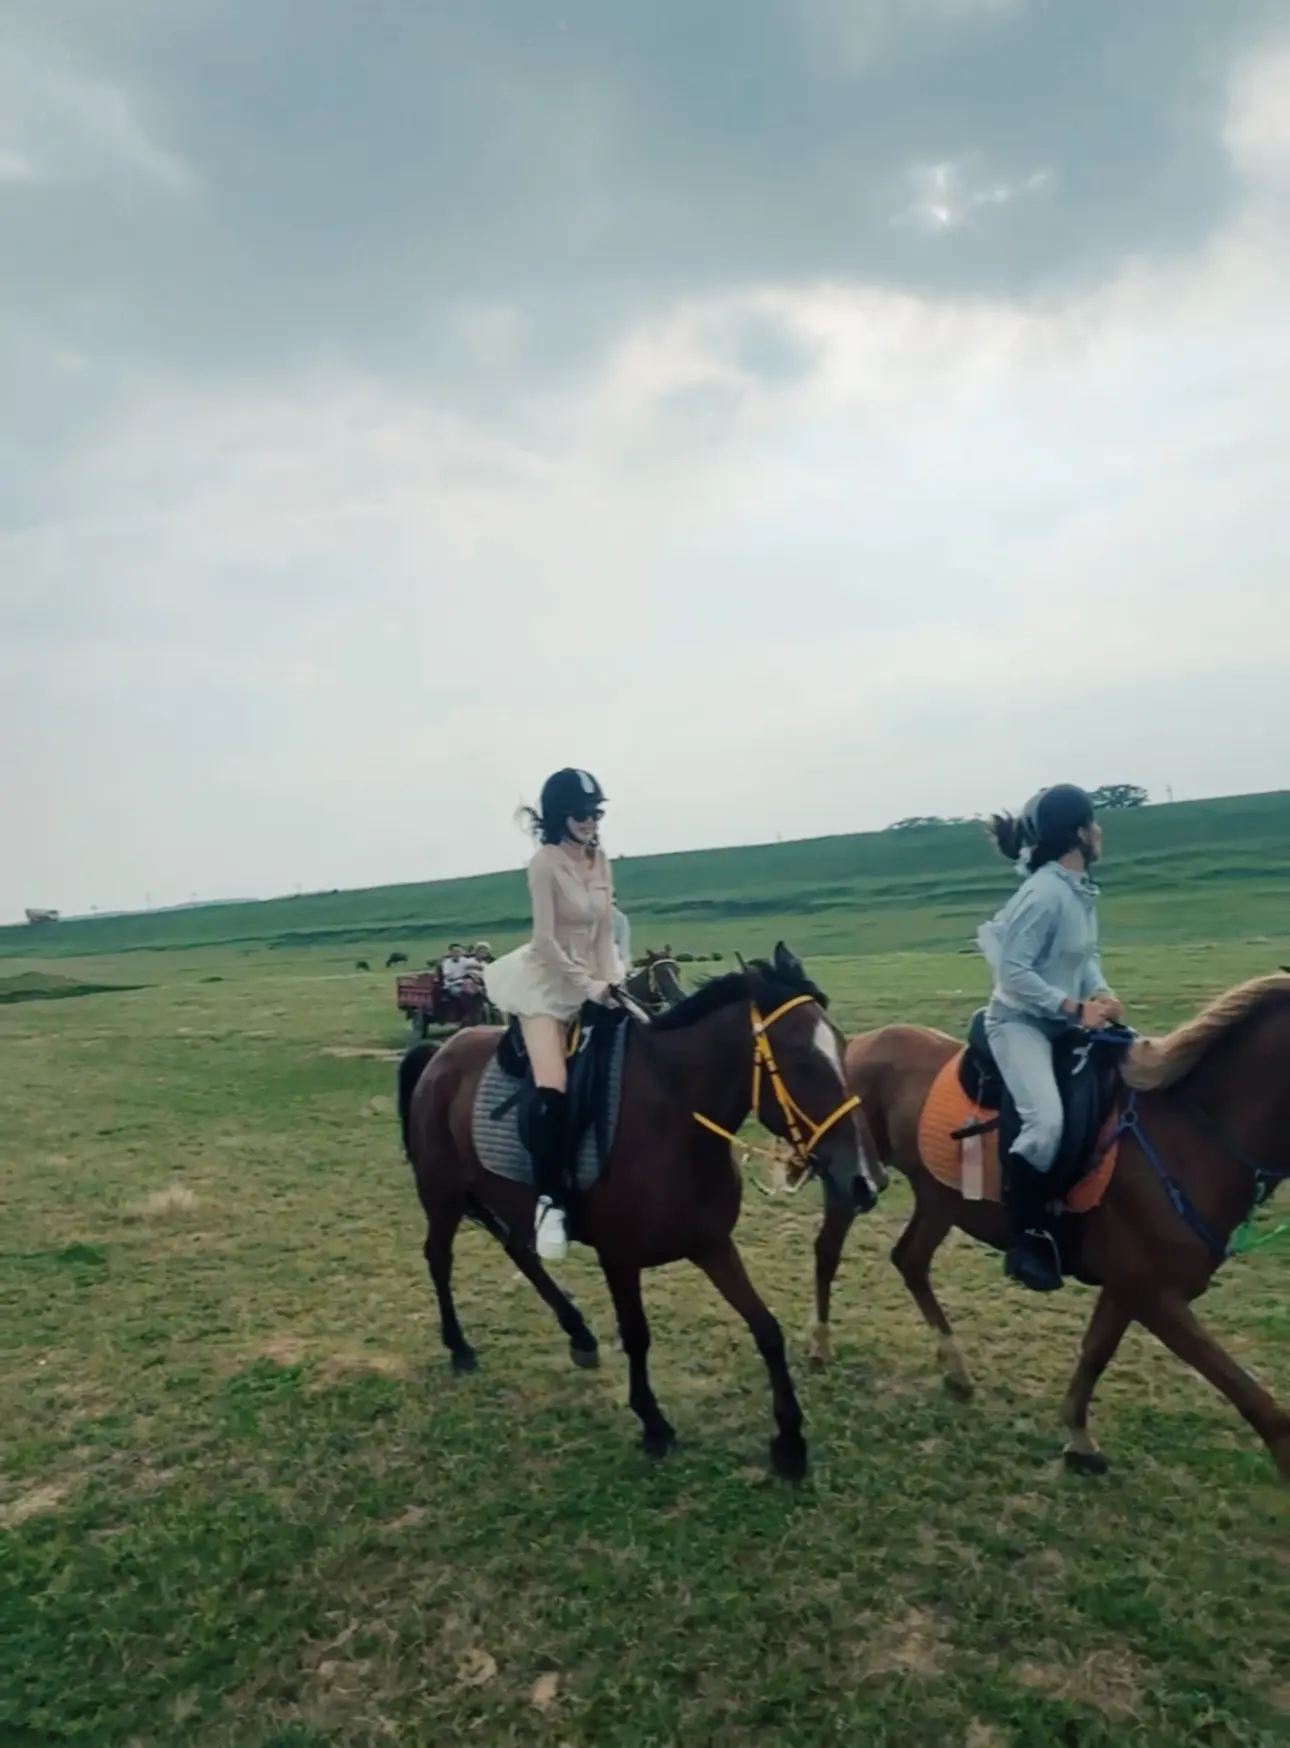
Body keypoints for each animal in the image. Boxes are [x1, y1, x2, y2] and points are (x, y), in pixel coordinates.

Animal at [398, 944, 884, 1478]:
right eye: (800, 1060)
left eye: (843, 1046)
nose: (866, 1180)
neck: (674, 1120)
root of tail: (440, 1053)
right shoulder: (619, 1257)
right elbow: (637, 1335)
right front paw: (653, 1425)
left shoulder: (712, 1244)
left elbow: (767, 1329)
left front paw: (791, 1441)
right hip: (442, 1194)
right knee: (438, 1258)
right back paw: (460, 1347)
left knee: (518, 1250)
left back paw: (579, 1334)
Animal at [811, 974, 1290, 1479]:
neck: (1189, 1137)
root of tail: (856, 1046)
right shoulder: (1153, 1294)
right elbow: (1240, 1385)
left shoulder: (1127, 1288)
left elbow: (1096, 1352)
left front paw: (1077, 1437)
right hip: (852, 1182)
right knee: (828, 1252)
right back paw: (821, 1346)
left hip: (940, 1199)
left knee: (910, 1261)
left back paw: (955, 1367)